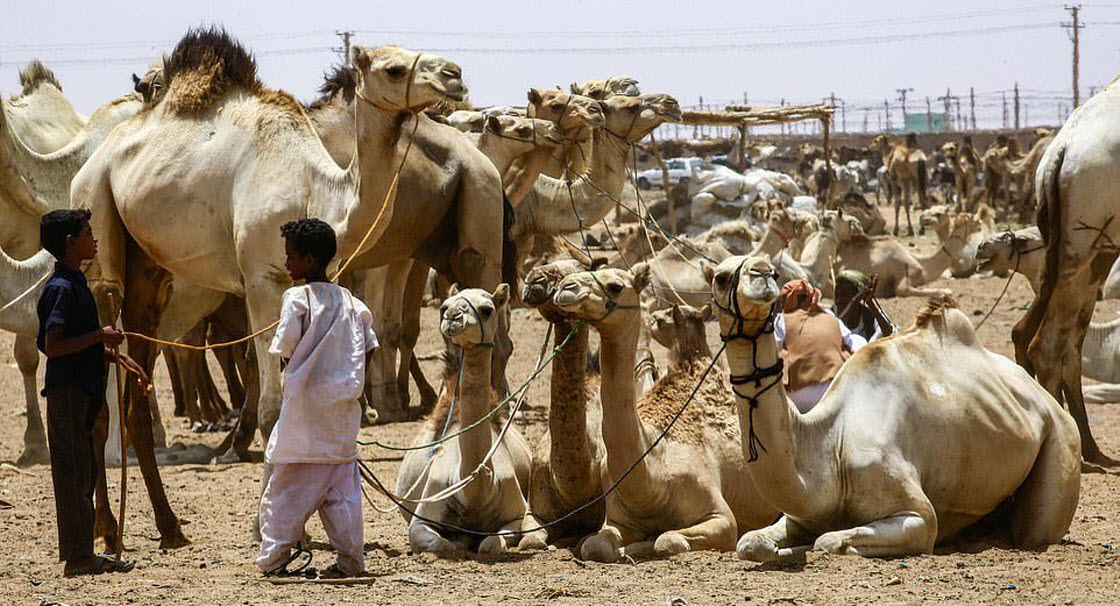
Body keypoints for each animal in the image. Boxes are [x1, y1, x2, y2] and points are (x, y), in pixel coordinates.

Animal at [394, 283, 533, 553]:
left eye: (487, 309)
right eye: (444, 306)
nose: (452, 317)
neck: (476, 490)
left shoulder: (517, 515)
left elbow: (491, 544)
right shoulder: (420, 521)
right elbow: (445, 545)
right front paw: (460, 539)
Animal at [551, 264, 779, 562]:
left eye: (615, 286)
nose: (566, 287)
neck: (654, 473)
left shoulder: (721, 517)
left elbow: (667, 540)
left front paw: (635, 548)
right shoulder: (617, 520)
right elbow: (594, 545)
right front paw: (622, 548)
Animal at [707, 254, 1084, 557]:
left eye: (771, 270)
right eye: (721, 277)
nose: (761, 273)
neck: (830, 444)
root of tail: (1042, 395)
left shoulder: (918, 516)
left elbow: (828, 540)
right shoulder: (802, 514)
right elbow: (748, 542)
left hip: (1063, 438)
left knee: (1034, 530)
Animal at [1012, 77, 1120, 465]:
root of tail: (1061, 151)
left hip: (1092, 247)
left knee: (1055, 341)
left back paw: (1092, 449)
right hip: (1085, 241)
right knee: (1048, 344)